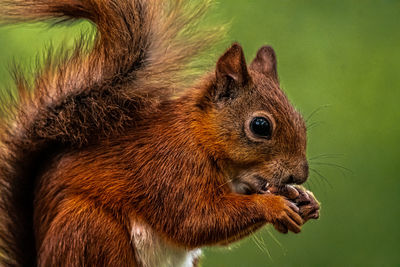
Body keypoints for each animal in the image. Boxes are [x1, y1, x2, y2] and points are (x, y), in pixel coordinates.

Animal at [0, 0, 318, 266]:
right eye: (260, 126)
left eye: (301, 122)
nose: (300, 174)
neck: (199, 137)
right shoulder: (169, 168)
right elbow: (195, 221)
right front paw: (273, 205)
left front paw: (305, 200)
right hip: (88, 226)